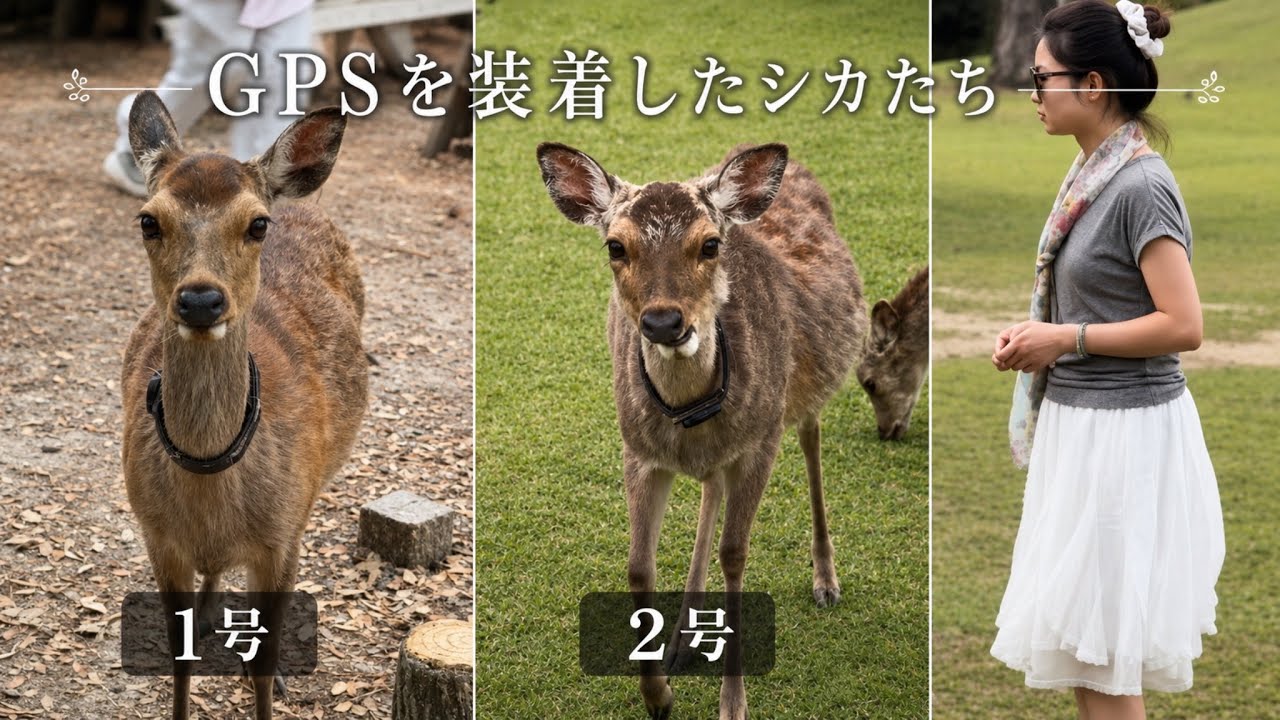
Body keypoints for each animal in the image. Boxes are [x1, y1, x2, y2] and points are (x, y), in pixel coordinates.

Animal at [118, 91, 367, 720]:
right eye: (148, 219)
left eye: (256, 224)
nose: (201, 299)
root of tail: (302, 203)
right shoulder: (156, 533)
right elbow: (178, 656)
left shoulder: (281, 539)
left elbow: (263, 659)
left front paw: (270, 683)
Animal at [538, 141, 868, 720]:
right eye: (615, 246)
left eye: (710, 244)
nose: (663, 322)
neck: (689, 416)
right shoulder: (637, 451)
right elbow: (638, 567)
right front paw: (658, 694)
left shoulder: (761, 441)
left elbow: (735, 554)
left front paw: (732, 703)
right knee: (712, 484)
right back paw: (682, 641)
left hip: (804, 392)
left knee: (811, 442)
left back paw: (825, 580)